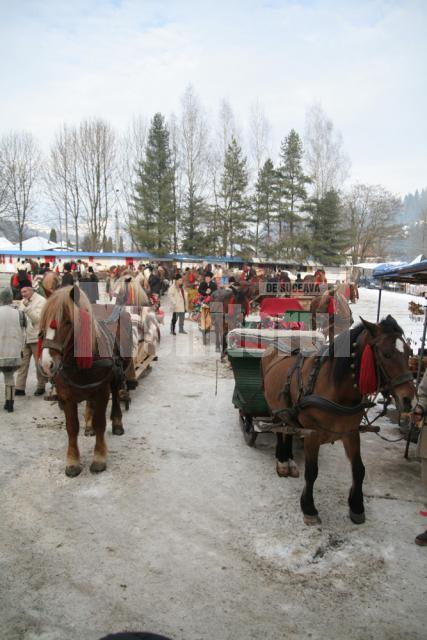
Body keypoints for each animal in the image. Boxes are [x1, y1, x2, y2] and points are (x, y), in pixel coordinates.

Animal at [40, 288, 130, 478]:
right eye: (43, 321)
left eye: (67, 321)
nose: (46, 364)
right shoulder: (66, 395)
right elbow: (72, 427)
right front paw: (73, 461)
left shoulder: (102, 391)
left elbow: (100, 423)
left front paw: (99, 458)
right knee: (90, 401)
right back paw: (88, 426)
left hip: (117, 373)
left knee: (116, 395)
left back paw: (117, 422)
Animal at [262, 316, 416, 524]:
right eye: (386, 354)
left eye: (409, 352)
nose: (409, 400)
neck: (334, 387)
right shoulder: (313, 434)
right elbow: (312, 471)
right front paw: (308, 507)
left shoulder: (350, 432)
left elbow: (359, 469)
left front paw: (356, 505)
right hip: (273, 409)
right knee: (279, 432)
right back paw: (281, 461)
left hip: (288, 414)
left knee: (288, 430)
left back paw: (290, 461)